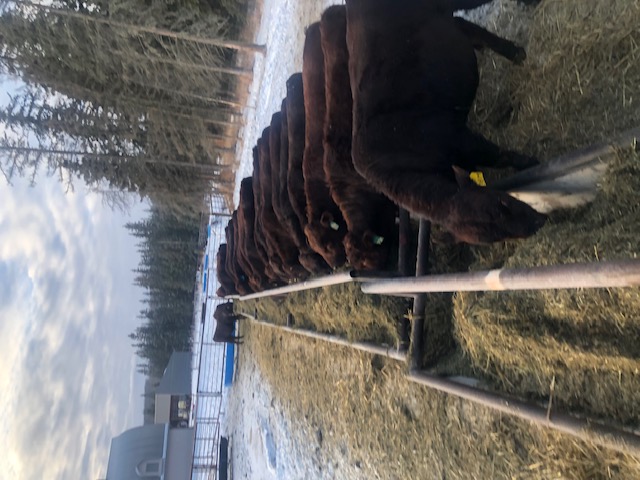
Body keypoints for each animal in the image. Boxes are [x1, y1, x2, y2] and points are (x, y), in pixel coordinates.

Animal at [346, 0, 546, 244]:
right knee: (465, 26)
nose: (539, 221)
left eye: (503, 204)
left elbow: (499, 156)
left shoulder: (459, 138)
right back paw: (514, 52)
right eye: (496, 236)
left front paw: (531, 163)